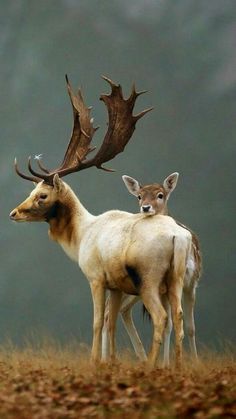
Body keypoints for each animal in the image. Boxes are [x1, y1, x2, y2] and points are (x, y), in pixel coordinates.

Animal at [9, 77, 192, 370]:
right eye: (32, 190)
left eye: (42, 195)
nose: (13, 213)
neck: (81, 236)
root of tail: (179, 237)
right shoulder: (116, 284)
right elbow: (111, 322)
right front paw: (111, 361)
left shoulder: (95, 276)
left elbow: (97, 321)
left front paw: (95, 360)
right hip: (175, 277)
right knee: (179, 316)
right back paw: (175, 366)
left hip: (149, 278)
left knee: (161, 317)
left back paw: (150, 365)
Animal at [102, 172, 202, 366]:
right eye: (139, 196)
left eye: (160, 195)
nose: (145, 208)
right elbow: (173, 324)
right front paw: (167, 363)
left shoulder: (191, 282)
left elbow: (189, 326)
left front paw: (188, 362)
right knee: (110, 312)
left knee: (120, 311)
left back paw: (138, 358)